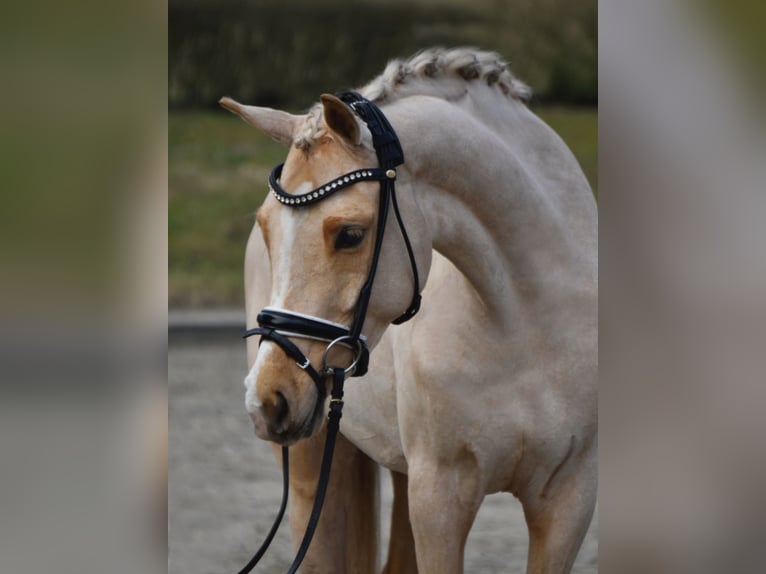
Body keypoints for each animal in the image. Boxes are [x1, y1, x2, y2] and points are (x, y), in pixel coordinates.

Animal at [222, 48, 600, 574]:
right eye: (266, 227)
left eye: (350, 235)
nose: (267, 399)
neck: (528, 323)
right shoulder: (439, 495)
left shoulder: (569, 499)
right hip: (312, 461)